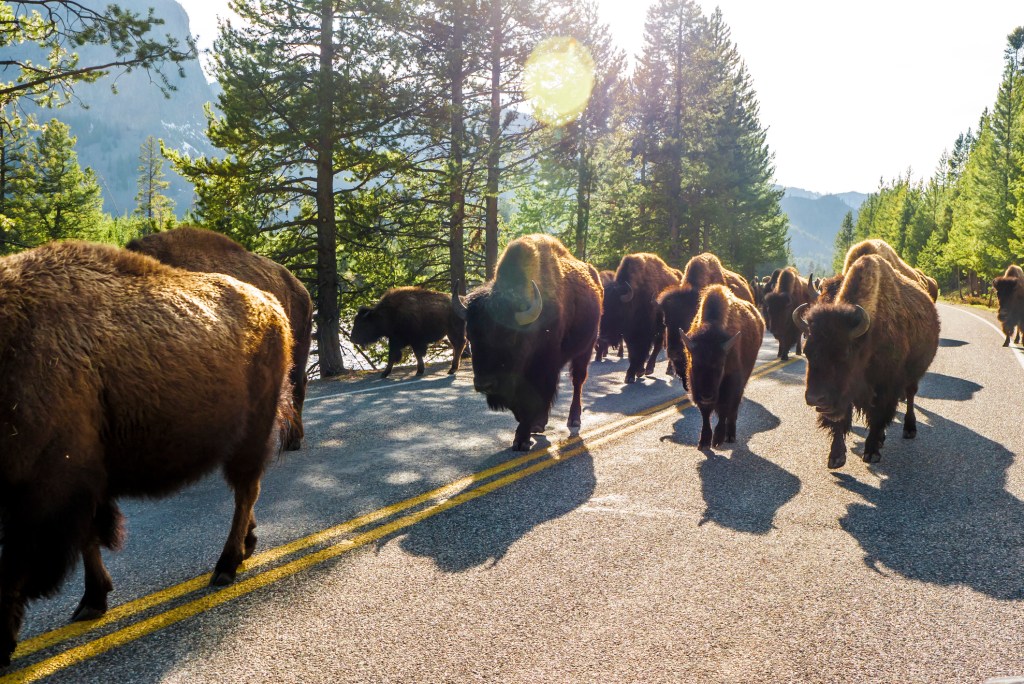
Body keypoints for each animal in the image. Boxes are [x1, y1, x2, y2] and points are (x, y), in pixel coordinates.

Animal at [0, 241, 295, 666]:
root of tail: (270, 304)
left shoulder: (45, 492)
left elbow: (17, 566)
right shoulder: (76, 487)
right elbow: (88, 537)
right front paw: (92, 601)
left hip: (252, 433)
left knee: (245, 492)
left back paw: (225, 566)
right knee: (247, 494)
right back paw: (244, 548)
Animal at [453, 234, 602, 451]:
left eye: (509, 336)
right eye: (470, 337)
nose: (484, 384)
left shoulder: (542, 366)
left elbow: (534, 398)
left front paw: (521, 440)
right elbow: (521, 405)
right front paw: (533, 427)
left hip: (586, 348)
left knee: (577, 381)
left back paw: (574, 419)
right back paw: (541, 423)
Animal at [602, 252, 682, 383]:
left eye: (616, 308)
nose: (603, 337)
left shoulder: (646, 333)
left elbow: (641, 351)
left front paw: (636, 372)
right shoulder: (629, 335)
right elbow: (633, 352)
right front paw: (632, 374)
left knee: (660, 345)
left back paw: (660, 369)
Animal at [678, 285, 764, 448]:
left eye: (721, 364)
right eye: (694, 363)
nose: (706, 396)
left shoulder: (731, 385)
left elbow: (724, 409)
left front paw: (718, 439)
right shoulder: (696, 388)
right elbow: (705, 414)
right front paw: (704, 441)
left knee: (733, 411)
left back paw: (730, 436)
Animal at [793, 254, 939, 468]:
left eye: (845, 353)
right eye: (807, 350)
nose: (814, 398)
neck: (867, 338)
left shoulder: (885, 389)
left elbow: (877, 417)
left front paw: (871, 452)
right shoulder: (843, 397)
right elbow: (840, 421)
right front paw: (836, 456)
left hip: (913, 376)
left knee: (911, 395)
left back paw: (909, 429)